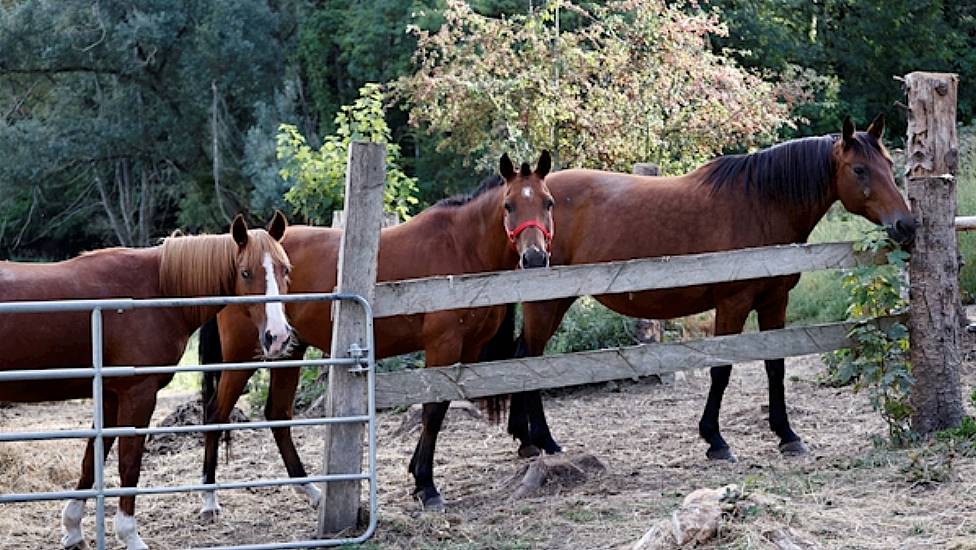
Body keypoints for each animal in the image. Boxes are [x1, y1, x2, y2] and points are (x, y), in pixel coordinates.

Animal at [0, 215, 290, 550]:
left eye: (286, 269)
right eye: (245, 272)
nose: (277, 337)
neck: (156, 290)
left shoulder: (110, 395)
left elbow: (92, 458)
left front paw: (73, 529)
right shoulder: (138, 394)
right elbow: (129, 464)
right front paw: (130, 534)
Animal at [196, 153, 556, 516]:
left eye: (548, 202)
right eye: (509, 205)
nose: (535, 257)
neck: (460, 248)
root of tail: (236, 253)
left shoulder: (466, 350)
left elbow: (440, 407)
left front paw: (417, 476)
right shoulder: (442, 346)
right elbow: (432, 411)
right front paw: (426, 485)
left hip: (289, 349)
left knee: (277, 414)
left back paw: (311, 490)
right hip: (242, 356)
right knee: (216, 413)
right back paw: (210, 498)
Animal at [504, 116, 916, 466]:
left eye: (889, 165)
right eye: (859, 169)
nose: (906, 225)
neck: (761, 203)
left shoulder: (775, 302)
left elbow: (775, 366)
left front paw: (787, 435)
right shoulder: (733, 305)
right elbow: (721, 369)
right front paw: (715, 440)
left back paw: (526, 440)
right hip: (547, 303)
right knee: (528, 358)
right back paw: (544, 441)